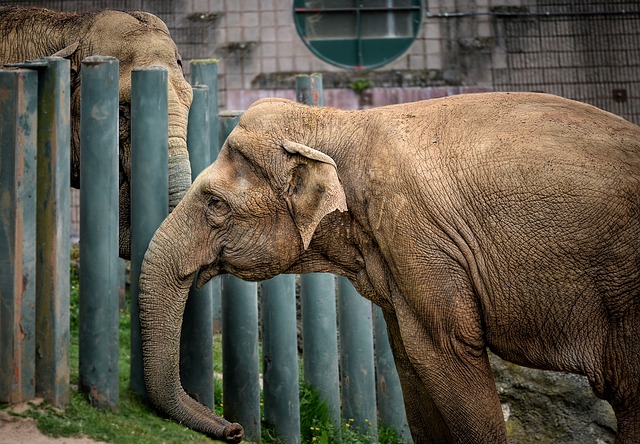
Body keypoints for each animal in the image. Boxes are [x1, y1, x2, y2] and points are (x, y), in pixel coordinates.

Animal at [140, 92, 640, 442]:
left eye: (215, 204)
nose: (235, 430)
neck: (331, 122)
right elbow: (410, 358)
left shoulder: (418, 234)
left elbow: (446, 348)